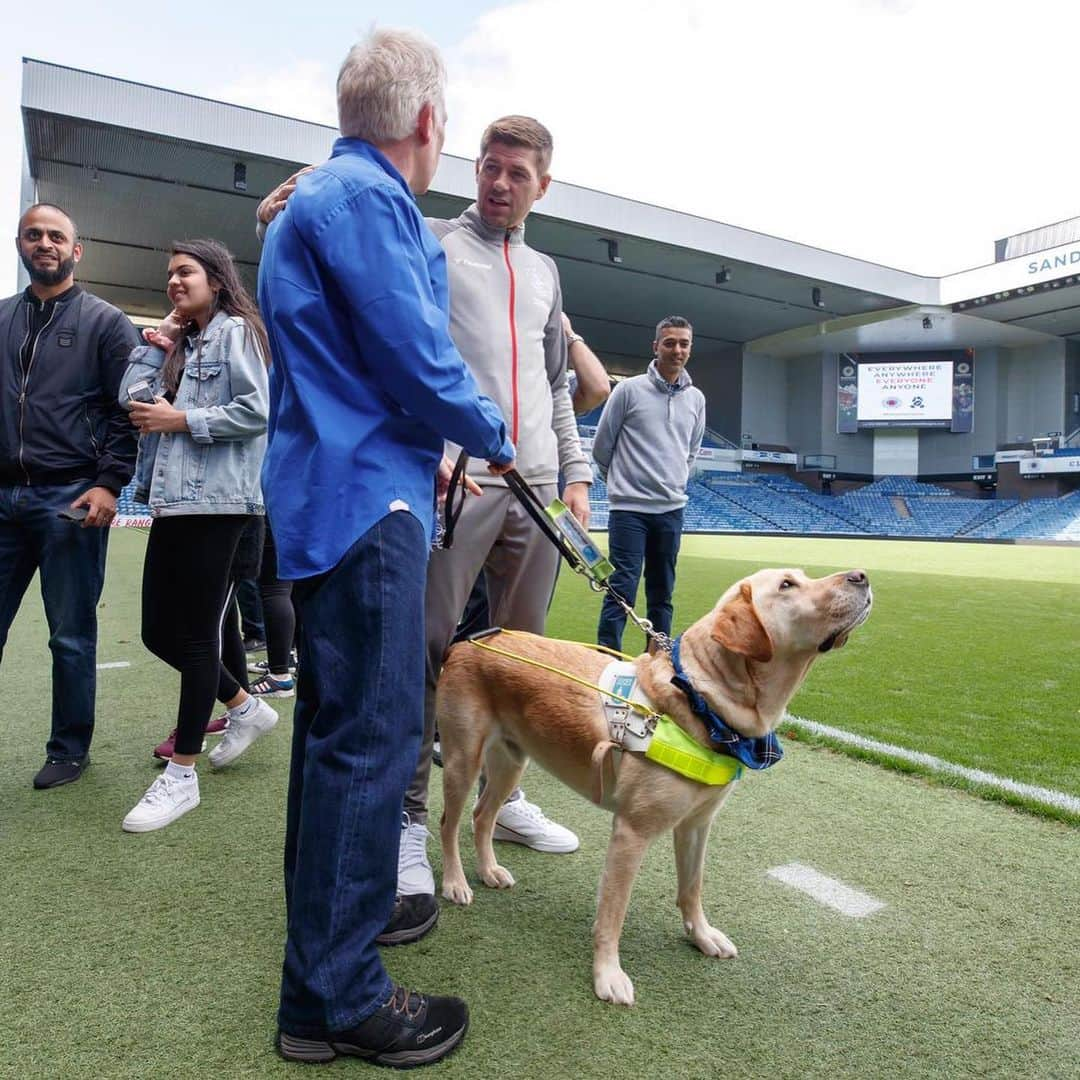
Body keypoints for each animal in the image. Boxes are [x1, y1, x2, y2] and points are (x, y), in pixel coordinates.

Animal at [436, 565, 868, 1002]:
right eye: (786, 585)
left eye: (802, 576)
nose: (861, 575)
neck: (701, 702)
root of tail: (470, 641)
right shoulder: (631, 832)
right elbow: (613, 913)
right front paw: (607, 974)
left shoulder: (696, 825)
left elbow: (692, 888)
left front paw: (701, 936)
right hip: (462, 761)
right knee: (448, 824)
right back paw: (455, 883)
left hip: (511, 762)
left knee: (482, 817)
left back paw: (489, 870)